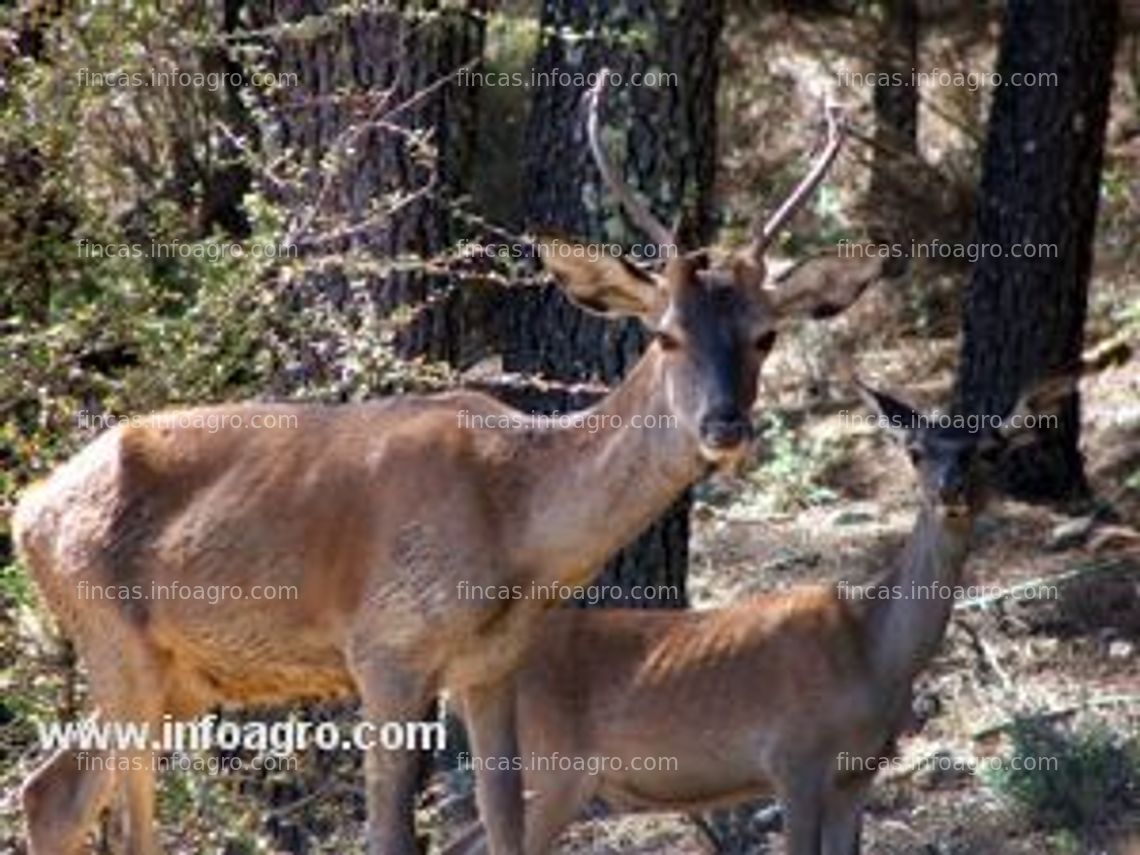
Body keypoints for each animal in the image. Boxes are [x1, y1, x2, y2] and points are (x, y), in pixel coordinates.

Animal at [11, 73, 889, 855]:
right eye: (666, 333)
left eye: (765, 335)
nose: (725, 423)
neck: (515, 531)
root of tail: (26, 507)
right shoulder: (384, 649)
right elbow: (391, 835)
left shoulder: (491, 663)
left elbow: (506, 828)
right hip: (112, 633)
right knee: (117, 817)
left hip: (180, 673)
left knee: (52, 789)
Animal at [449, 376, 1071, 855]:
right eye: (915, 451)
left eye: (991, 450)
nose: (951, 491)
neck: (871, 654)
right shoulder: (793, 757)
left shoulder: (858, 772)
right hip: (551, 764)